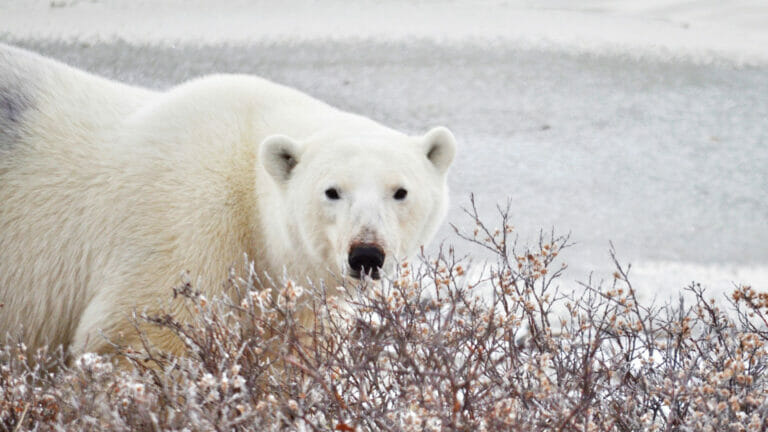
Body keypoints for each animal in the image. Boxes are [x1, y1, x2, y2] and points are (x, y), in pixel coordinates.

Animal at [0, 44, 456, 362]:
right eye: (332, 191)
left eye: (400, 191)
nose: (366, 255)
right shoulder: (188, 225)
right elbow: (146, 335)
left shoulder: (288, 293)